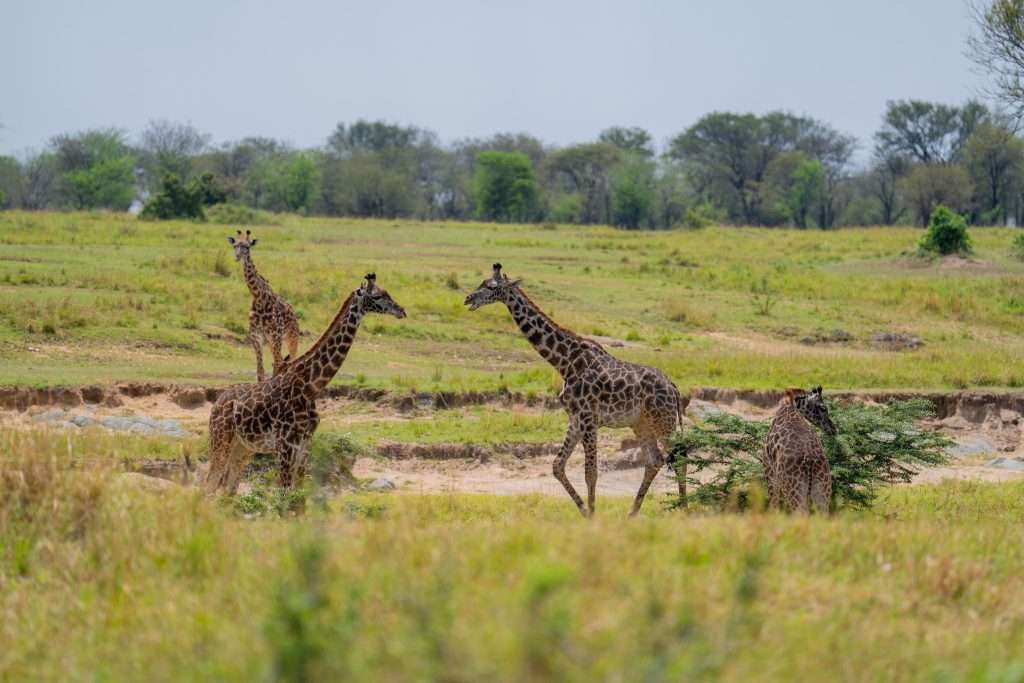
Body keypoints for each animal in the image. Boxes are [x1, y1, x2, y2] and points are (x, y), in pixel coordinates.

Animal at [203, 273, 406, 495]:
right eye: (377, 296)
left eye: (387, 292)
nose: (402, 311)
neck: (311, 387)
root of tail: (216, 403)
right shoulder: (286, 445)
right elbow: (284, 495)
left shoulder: (304, 444)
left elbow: (298, 494)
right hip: (221, 440)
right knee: (208, 485)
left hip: (243, 448)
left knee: (228, 491)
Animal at [228, 229, 302, 382]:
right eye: (235, 246)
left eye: (247, 247)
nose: (237, 257)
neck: (259, 298)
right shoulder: (257, 337)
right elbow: (260, 371)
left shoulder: (275, 336)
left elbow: (277, 365)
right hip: (272, 342)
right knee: (280, 362)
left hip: (291, 338)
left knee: (288, 361)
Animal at [465, 263, 686, 517]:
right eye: (481, 283)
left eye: (491, 287)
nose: (468, 298)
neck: (564, 362)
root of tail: (674, 388)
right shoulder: (575, 418)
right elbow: (557, 465)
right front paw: (584, 510)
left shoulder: (589, 418)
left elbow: (591, 472)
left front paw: (593, 514)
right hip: (641, 424)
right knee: (655, 460)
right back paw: (633, 512)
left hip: (664, 422)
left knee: (679, 457)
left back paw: (685, 508)